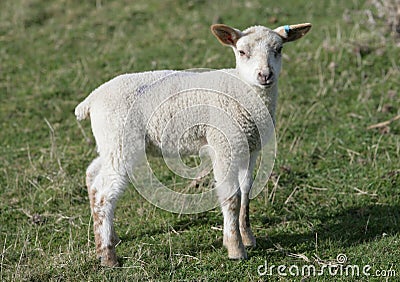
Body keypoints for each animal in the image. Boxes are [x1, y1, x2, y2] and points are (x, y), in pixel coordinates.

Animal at [75, 22, 312, 266]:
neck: (240, 91)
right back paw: (108, 256)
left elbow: (246, 190)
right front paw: (235, 248)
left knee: (92, 175)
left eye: (279, 50)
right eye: (242, 52)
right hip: (120, 140)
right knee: (104, 193)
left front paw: (247, 237)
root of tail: (92, 99)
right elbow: (232, 198)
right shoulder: (224, 145)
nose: (265, 75)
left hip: (111, 143)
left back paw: (106, 240)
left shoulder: (250, 148)